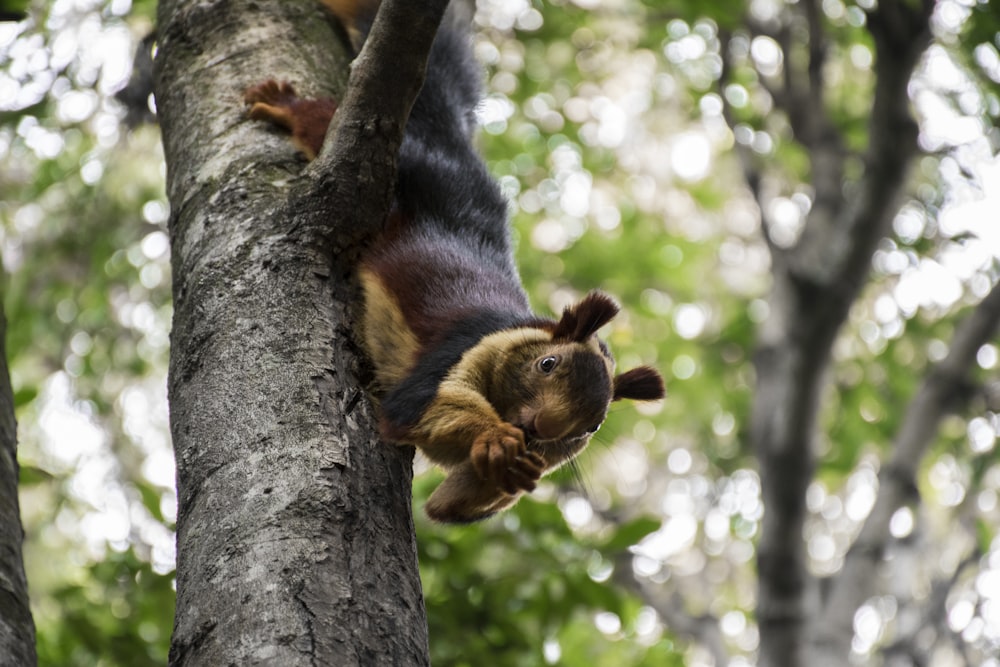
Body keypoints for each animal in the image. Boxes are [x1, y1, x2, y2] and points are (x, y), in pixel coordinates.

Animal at [242, 0, 664, 524]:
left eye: (593, 425)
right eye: (547, 363)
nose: (543, 428)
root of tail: (450, 142)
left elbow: (448, 506)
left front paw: (503, 472)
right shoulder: (460, 347)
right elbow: (420, 406)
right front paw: (494, 438)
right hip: (384, 160)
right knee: (320, 122)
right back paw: (280, 103)